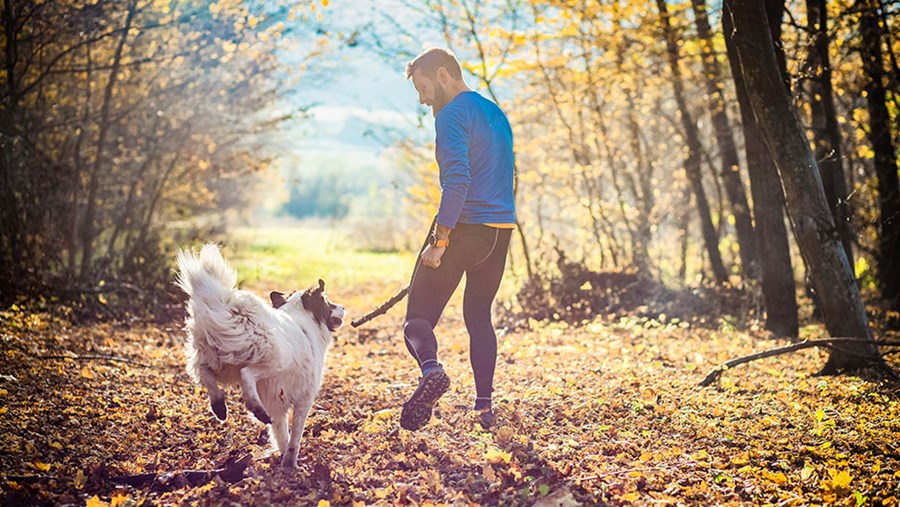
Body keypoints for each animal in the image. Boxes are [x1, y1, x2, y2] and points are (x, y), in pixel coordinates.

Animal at [176, 244, 344, 470]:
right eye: (328, 303)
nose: (343, 307)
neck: (302, 318)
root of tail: (227, 302)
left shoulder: (279, 404)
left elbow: (282, 434)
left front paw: (284, 459)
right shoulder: (304, 398)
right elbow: (294, 438)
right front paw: (291, 464)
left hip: (216, 357)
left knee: (205, 372)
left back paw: (219, 405)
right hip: (275, 359)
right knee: (247, 374)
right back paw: (256, 409)